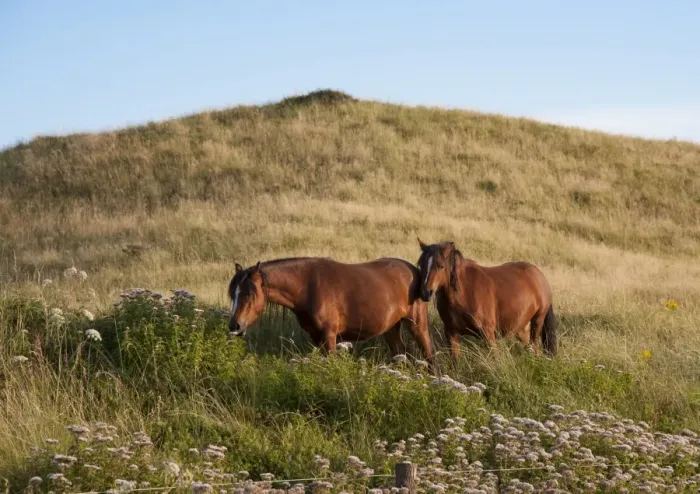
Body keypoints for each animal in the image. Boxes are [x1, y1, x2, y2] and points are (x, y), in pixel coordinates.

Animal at [227, 256, 435, 369]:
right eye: (233, 293)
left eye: (248, 293)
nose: (234, 326)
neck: (308, 286)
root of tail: (416, 271)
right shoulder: (317, 338)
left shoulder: (329, 337)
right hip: (391, 328)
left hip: (417, 324)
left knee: (429, 355)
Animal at [415, 239, 558, 359]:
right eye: (421, 265)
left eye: (440, 266)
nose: (425, 292)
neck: (463, 293)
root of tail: (539, 275)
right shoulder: (452, 334)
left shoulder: (487, 333)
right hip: (520, 327)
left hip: (537, 321)